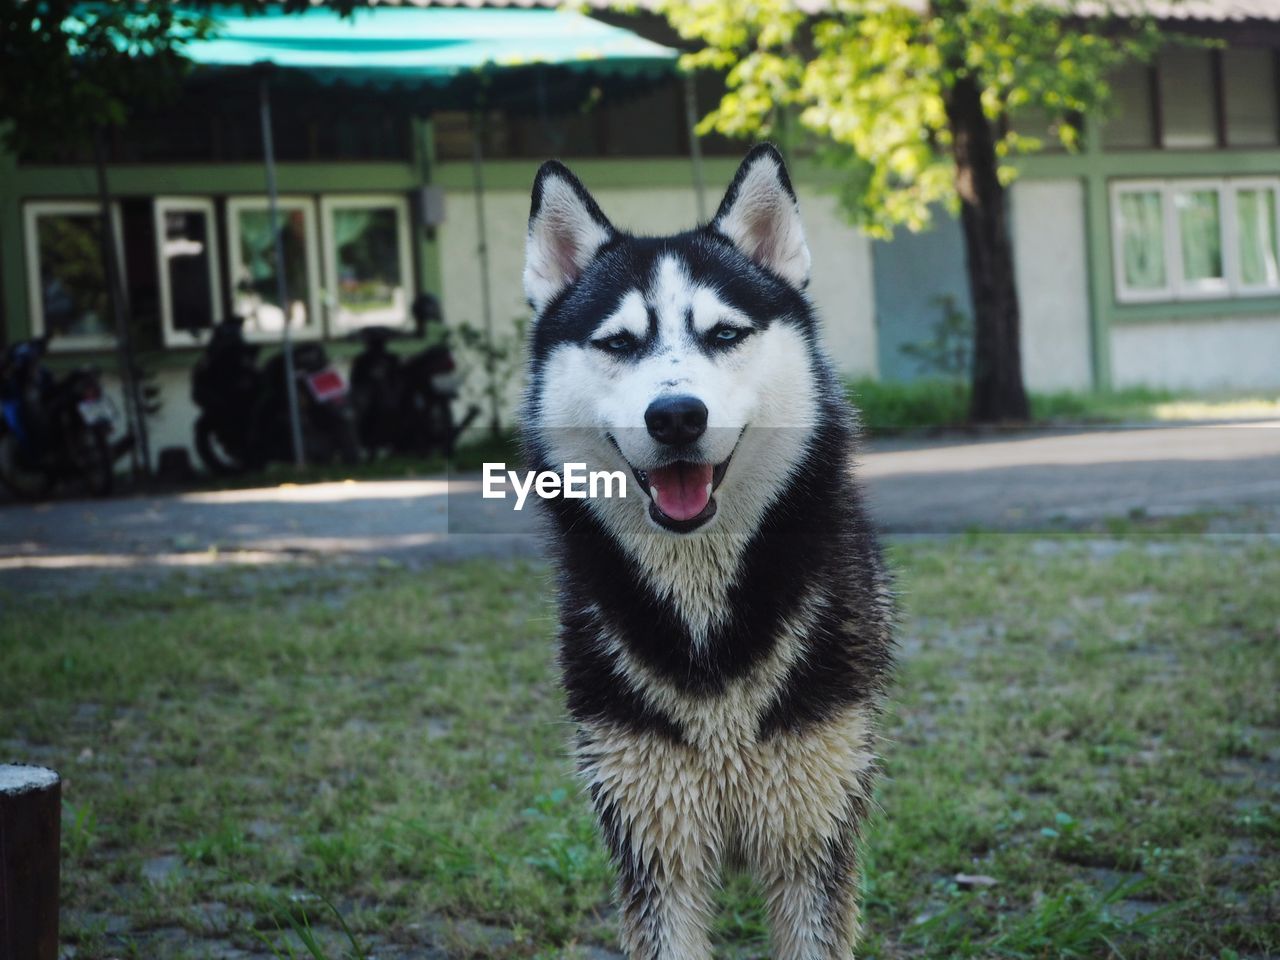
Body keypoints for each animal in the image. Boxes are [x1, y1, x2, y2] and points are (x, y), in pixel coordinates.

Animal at [517, 144, 890, 960]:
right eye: (619, 343)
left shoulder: (812, 829)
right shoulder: (655, 840)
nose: (677, 416)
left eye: (723, 335)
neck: (707, 626)